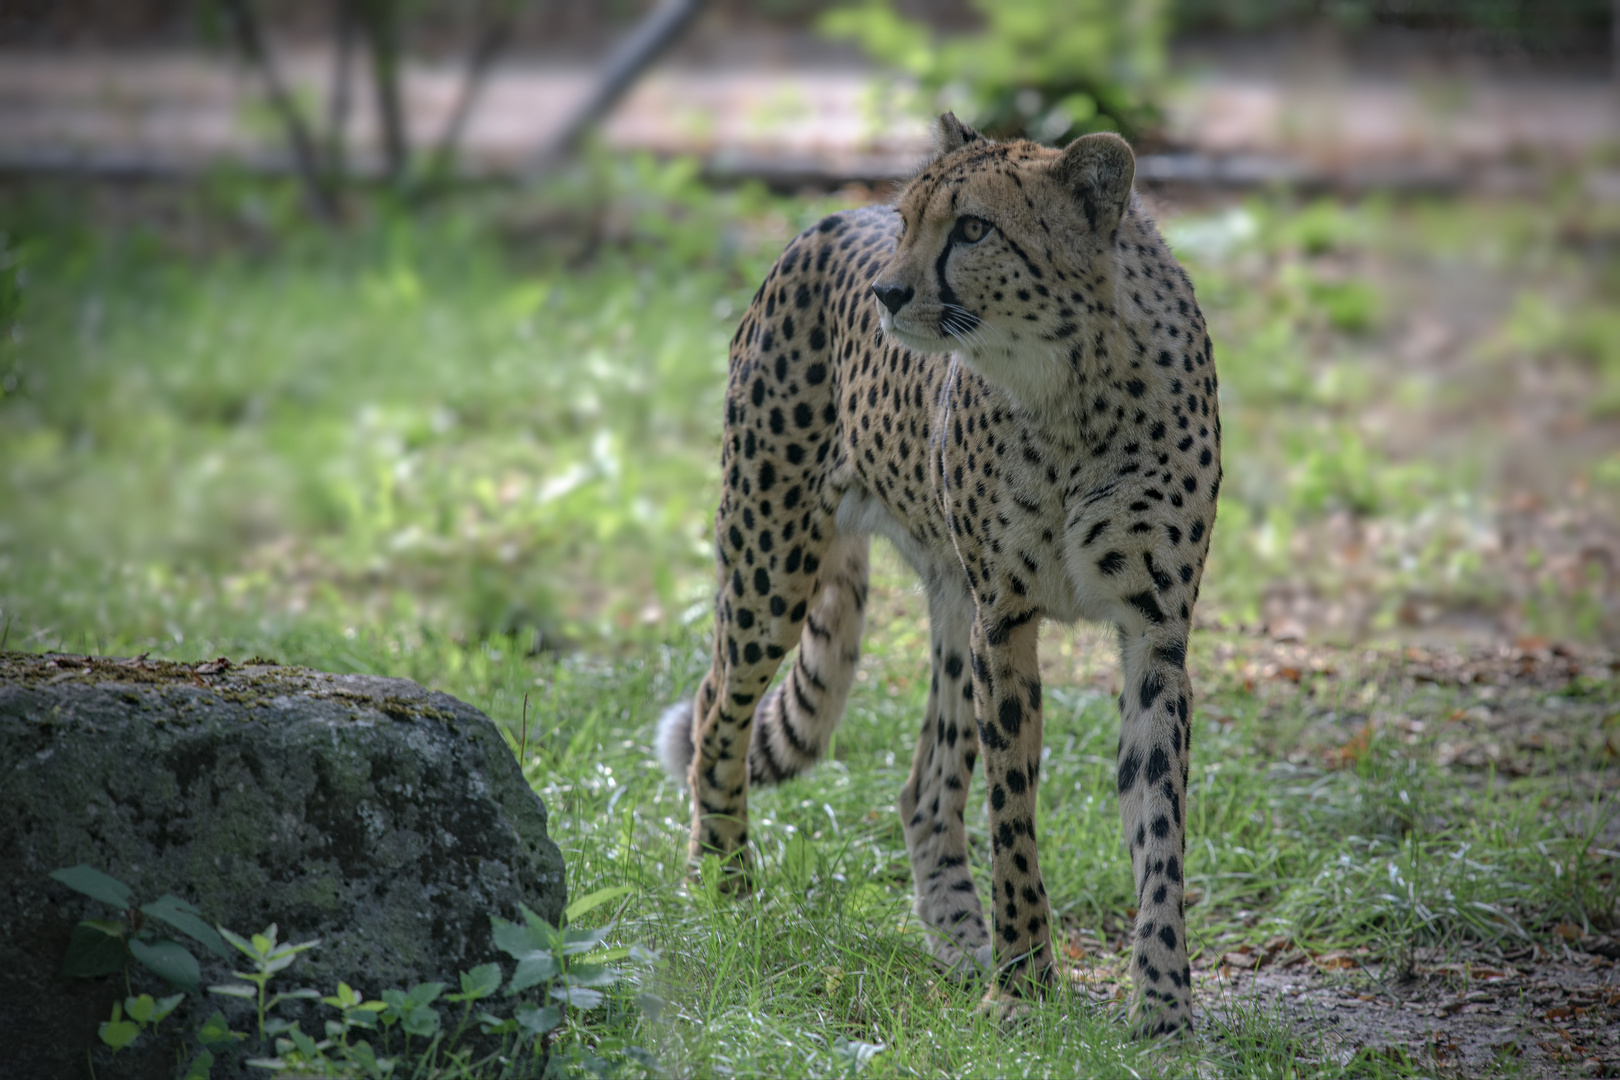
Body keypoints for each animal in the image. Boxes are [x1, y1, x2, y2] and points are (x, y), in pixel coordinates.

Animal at [657, 114, 1218, 1036]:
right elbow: (1012, 809)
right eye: (911, 218)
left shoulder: (1154, 632)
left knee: (923, 787)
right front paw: (1023, 985)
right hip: (773, 556)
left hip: (951, 601)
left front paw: (1165, 1001)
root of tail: (827, 219)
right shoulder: (1009, 615)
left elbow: (1159, 822)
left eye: (975, 229)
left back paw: (959, 938)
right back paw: (724, 882)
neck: (1074, 387)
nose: (887, 293)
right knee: (713, 707)